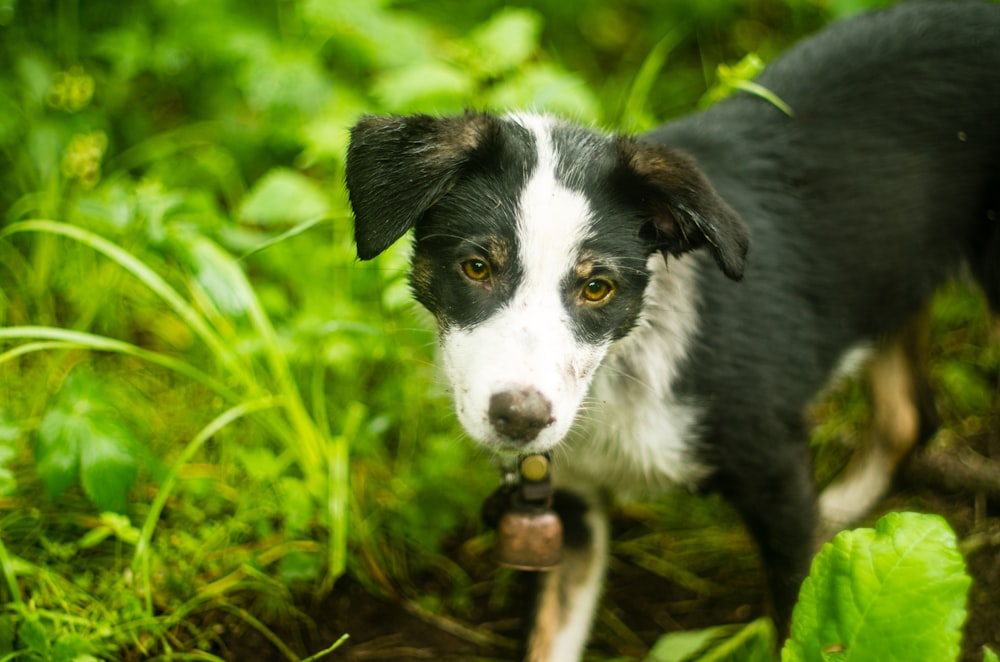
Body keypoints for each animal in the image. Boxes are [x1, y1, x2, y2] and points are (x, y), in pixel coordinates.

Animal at [344, 2, 1000, 660]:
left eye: (597, 288)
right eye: (476, 268)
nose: (520, 418)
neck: (623, 378)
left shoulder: (777, 477)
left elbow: (799, 621)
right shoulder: (571, 507)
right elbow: (549, 640)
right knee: (909, 414)